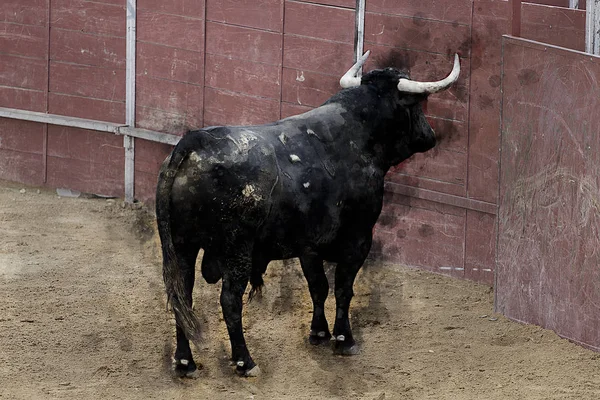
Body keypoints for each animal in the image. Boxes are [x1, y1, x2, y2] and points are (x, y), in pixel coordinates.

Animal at [156, 51, 460, 376]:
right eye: (416, 105)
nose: (429, 136)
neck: (359, 133)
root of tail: (193, 143)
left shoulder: (308, 245)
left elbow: (318, 287)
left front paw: (318, 333)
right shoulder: (359, 237)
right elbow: (342, 288)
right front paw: (344, 340)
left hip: (182, 246)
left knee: (182, 296)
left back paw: (185, 362)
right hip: (237, 250)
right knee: (229, 300)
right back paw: (245, 361)